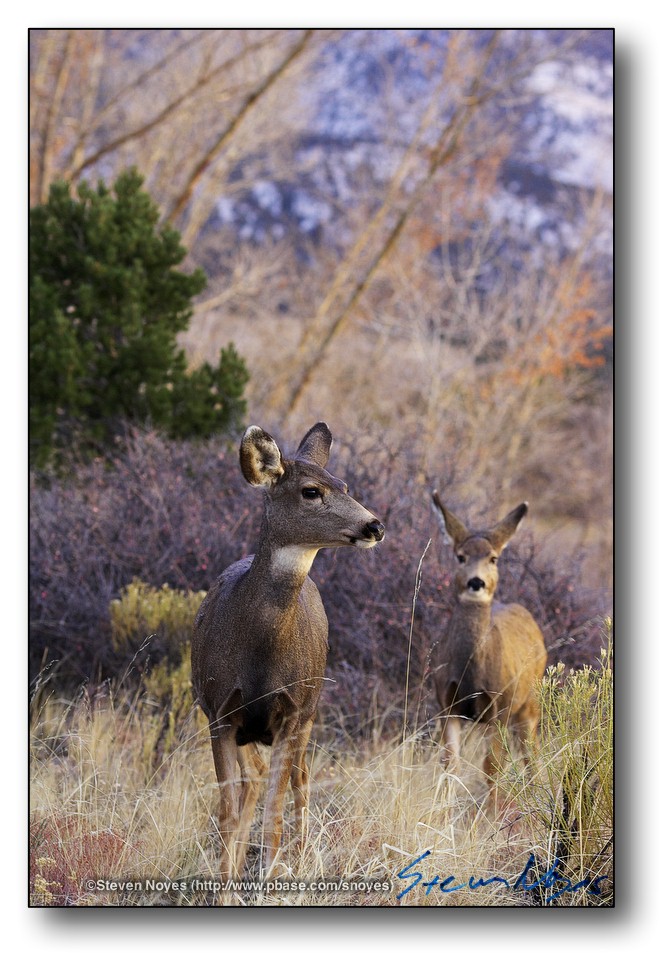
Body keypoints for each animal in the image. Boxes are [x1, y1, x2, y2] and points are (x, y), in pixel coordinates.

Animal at [191, 424, 386, 876]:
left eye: (345, 485)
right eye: (311, 491)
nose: (375, 526)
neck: (259, 656)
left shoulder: (292, 712)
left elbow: (274, 817)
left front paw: (275, 875)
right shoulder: (219, 710)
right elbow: (228, 813)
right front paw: (226, 881)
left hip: (311, 710)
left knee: (301, 780)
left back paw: (298, 855)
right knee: (254, 780)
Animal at [428, 494, 548, 800]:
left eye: (493, 558)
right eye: (461, 556)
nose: (476, 581)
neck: (471, 672)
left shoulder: (500, 706)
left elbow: (492, 768)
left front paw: (492, 813)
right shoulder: (446, 705)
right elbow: (450, 766)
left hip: (529, 705)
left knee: (531, 756)